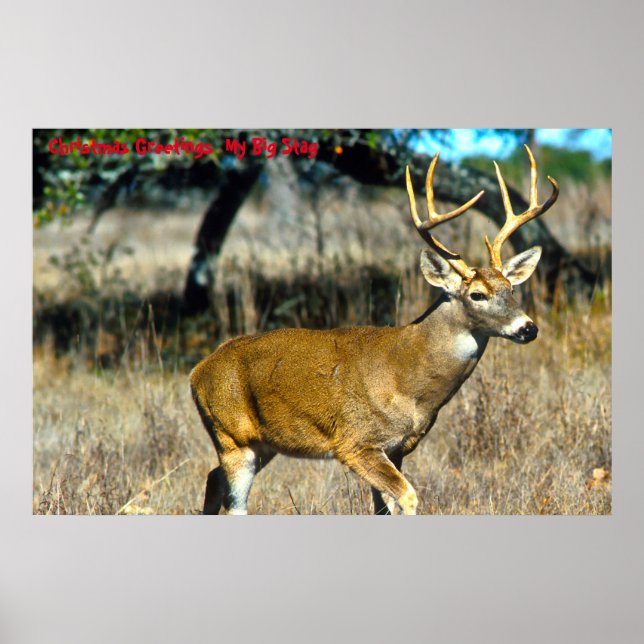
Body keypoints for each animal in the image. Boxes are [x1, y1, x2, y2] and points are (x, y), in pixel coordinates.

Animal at [190, 145, 559, 515]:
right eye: (477, 295)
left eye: (511, 289)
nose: (528, 328)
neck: (408, 379)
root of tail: (198, 371)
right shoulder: (356, 442)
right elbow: (407, 496)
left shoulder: (398, 448)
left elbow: (384, 506)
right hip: (232, 436)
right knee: (234, 502)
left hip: (264, 443)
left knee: (212, 478)